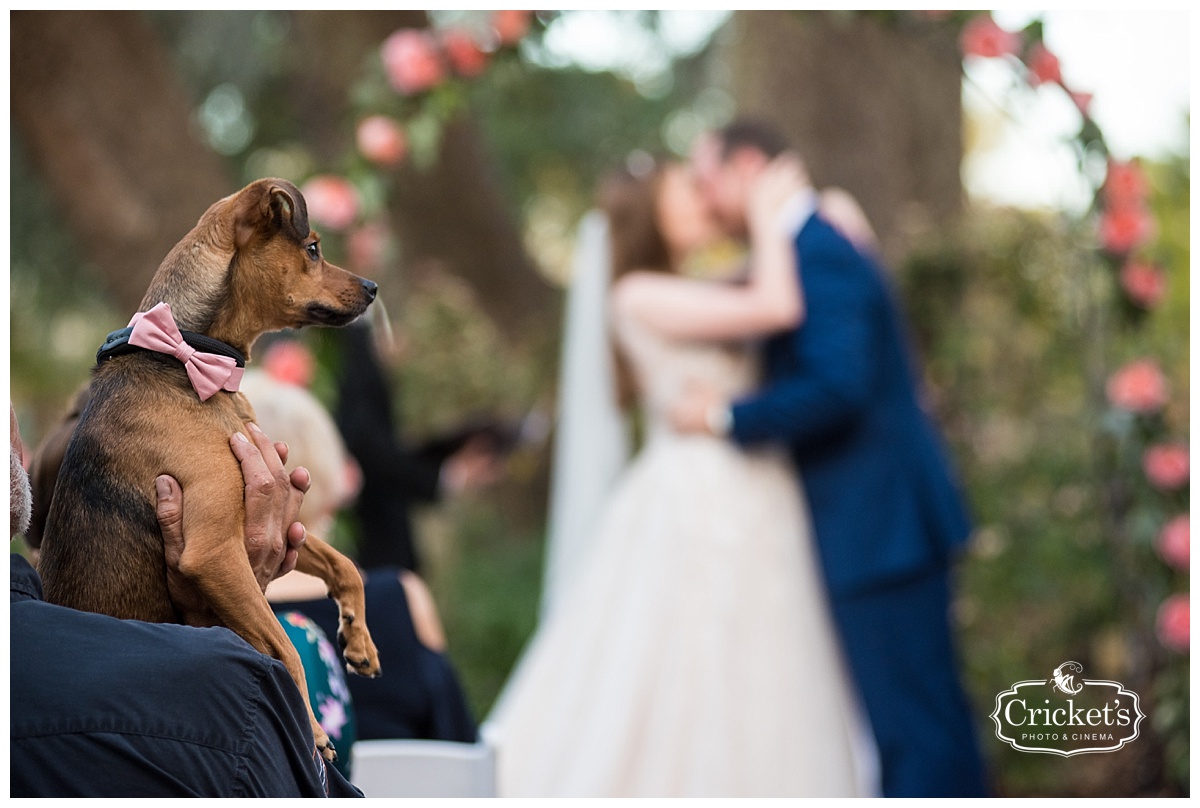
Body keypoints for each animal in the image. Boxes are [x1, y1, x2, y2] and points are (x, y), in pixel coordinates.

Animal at [35, 177, 379, 763]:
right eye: (312, 248)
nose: (374, 287)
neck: (189, 357)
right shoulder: (215, 551)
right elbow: (284, 646)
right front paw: (310, 731)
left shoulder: (274, 518)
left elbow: (344, 564)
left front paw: (358, 636)